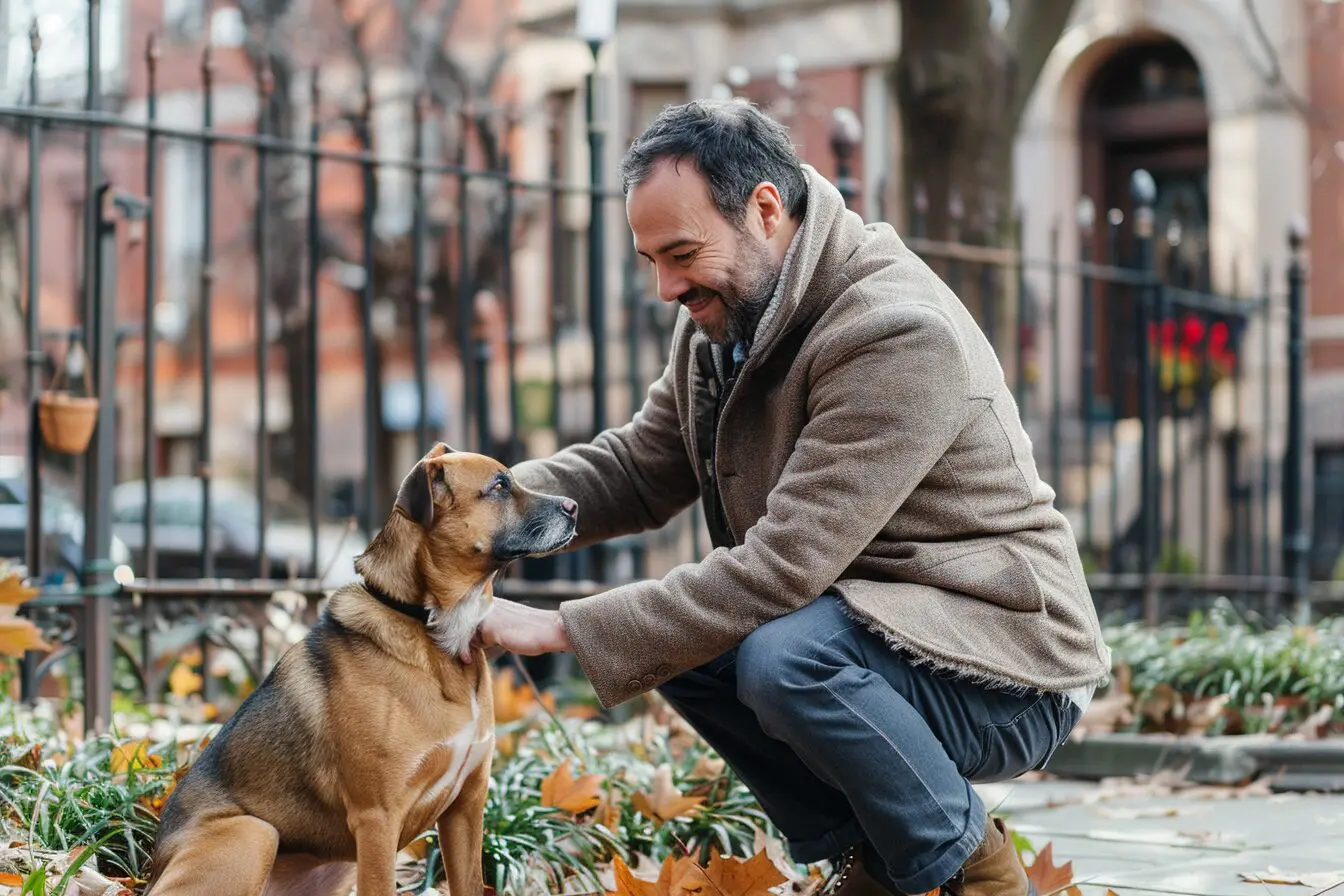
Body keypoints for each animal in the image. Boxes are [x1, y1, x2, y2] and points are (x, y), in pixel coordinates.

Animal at [145, 445, 577, 891]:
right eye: (498, 486)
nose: (574, 506)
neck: (429, 625)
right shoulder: (378, 820)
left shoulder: (466, 808)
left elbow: (470, 884)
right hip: (255, 832)